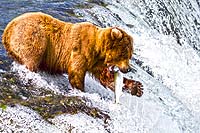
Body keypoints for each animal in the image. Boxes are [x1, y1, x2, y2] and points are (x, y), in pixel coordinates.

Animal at [1, 11, 142, 96]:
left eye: (130, 55)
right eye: (124, 54)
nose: (128, 69)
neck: (98, 49)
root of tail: (7, 30)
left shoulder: (96, 62)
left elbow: (105, 77)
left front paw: (137, 87)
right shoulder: (81, 50)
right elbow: (76, 72)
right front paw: (81, 90)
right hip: (34, 37)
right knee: (32, 56)